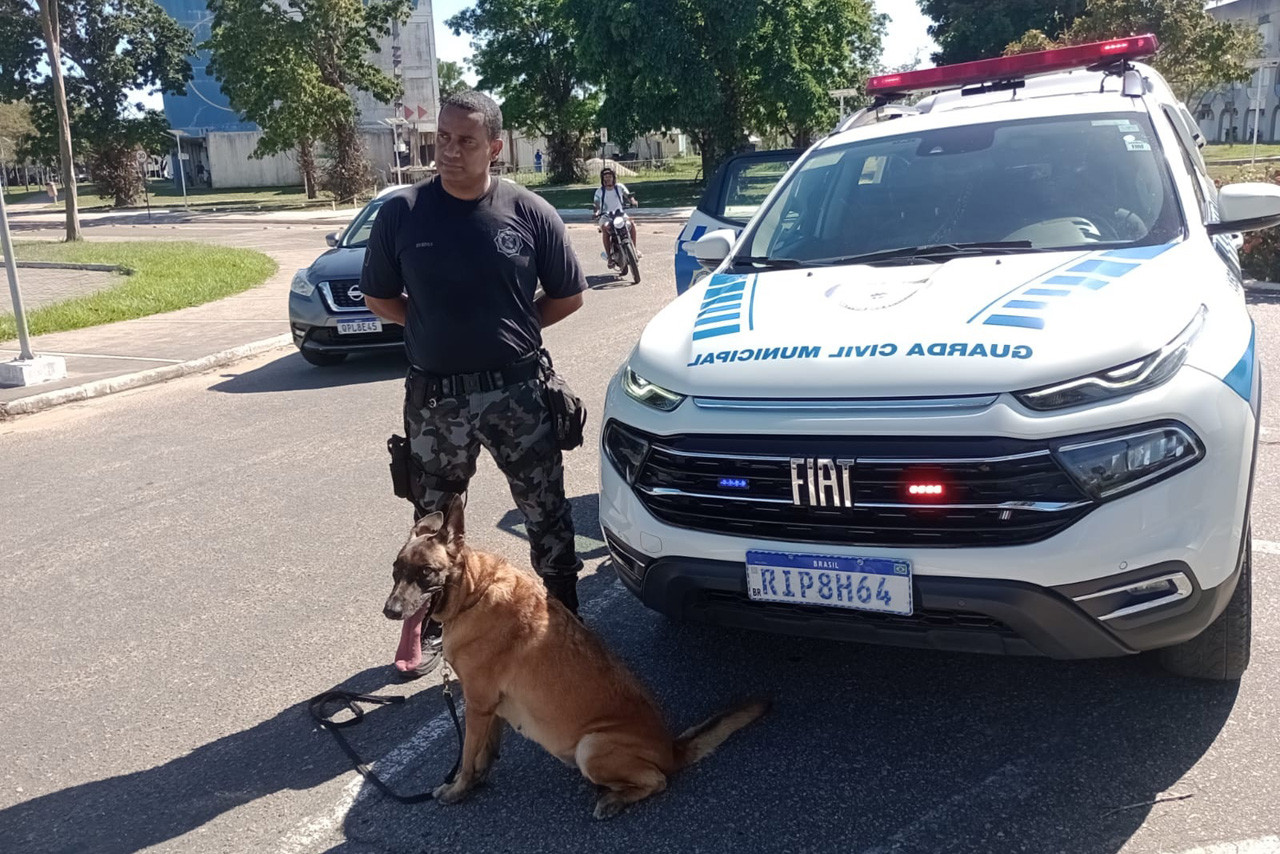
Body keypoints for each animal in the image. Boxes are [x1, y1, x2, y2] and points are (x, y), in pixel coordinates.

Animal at [373, 501, 762, 819]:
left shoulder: (477, 704)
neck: (474, 591)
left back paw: (613, 800)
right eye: (396, 570)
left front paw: (458, 789)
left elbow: (468, 756)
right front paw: (477, 782)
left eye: (426, 572)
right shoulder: (490, 708)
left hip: (591, 747)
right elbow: (484, 753)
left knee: (657, 781)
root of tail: (672, 748)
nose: (390, 610)